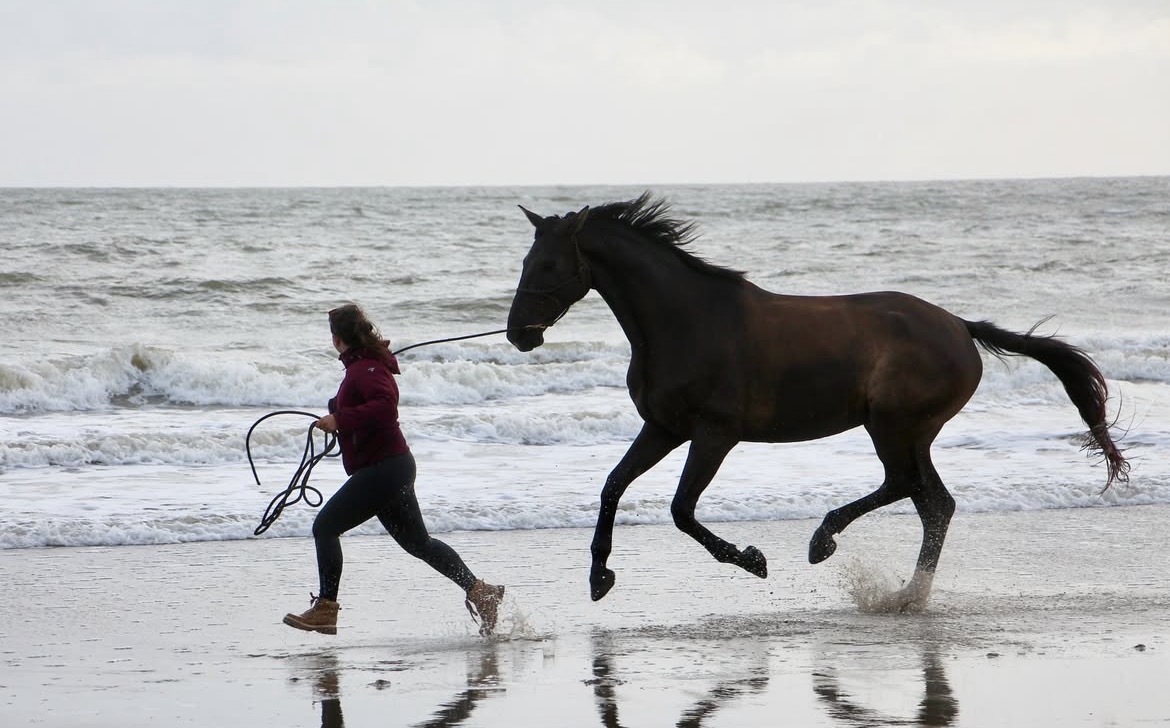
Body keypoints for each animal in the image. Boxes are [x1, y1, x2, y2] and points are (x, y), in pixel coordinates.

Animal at [505, 192, 1129, 611]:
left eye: (549, 265)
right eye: (526, 262)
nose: (517, 335)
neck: (685, 322)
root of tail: (960, 326)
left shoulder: (714, 434)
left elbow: (681, 509)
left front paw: (752, 560)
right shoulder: (664, 428)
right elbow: (613, 485)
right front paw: (598, 577)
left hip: (892, 425)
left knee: (908, 488)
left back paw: (825, 542)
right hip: (911, 432)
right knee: (934, 503)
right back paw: (906, 593)